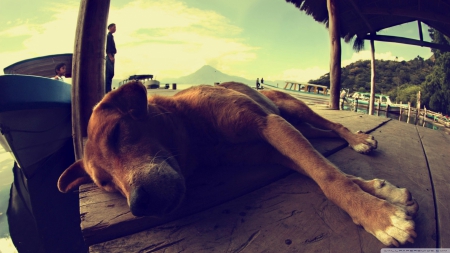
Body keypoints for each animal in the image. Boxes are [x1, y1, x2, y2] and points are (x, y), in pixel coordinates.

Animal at [59, 81, 418, 247]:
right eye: (105, 183)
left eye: (117, 133)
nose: (140, 205)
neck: (197, 137)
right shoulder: (272, 151)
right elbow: (325, 171)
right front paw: (383, 195)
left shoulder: (269, 125)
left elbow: (329, 177)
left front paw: (379, 217)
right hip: (296, 125)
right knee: (321, 136)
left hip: (292, 108)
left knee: (332, 126)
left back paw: (358, 139)